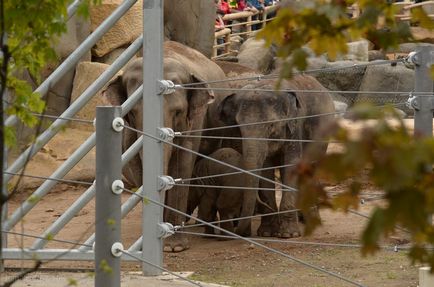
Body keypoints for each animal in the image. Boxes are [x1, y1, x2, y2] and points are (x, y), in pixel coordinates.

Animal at [102, 40, 231, 252]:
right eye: (134, 113)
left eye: (178, 112)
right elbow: (137, 166)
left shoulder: (194, 121)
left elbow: (182, 163)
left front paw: (174, 247)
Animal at [207, 73, 336, 238]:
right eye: (239, 128)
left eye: (271, 126)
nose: (236, 230)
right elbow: (265, 169)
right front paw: (267, 232)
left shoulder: (295, 126)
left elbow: (290, 165)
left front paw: (289, 234)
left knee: (309, 168)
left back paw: (310, 219)